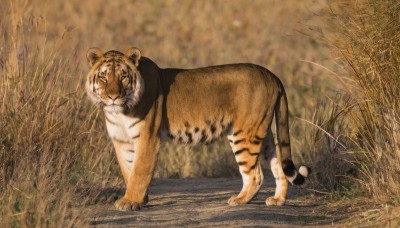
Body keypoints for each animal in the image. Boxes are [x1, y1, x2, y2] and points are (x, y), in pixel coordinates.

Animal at [83, 47, 310, 211]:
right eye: (103, 77)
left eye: (123, 76)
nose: (113, 96)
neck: (119, 113)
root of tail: (271, 74)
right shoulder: (121, 140)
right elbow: (127, 170)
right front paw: (140, 199)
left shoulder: (148, 138)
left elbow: (139, 171)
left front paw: (131, 202)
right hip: (263, 133)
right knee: (278, 164)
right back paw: (277, 200)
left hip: (245, 133)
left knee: (255, 175)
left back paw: (239, 200)